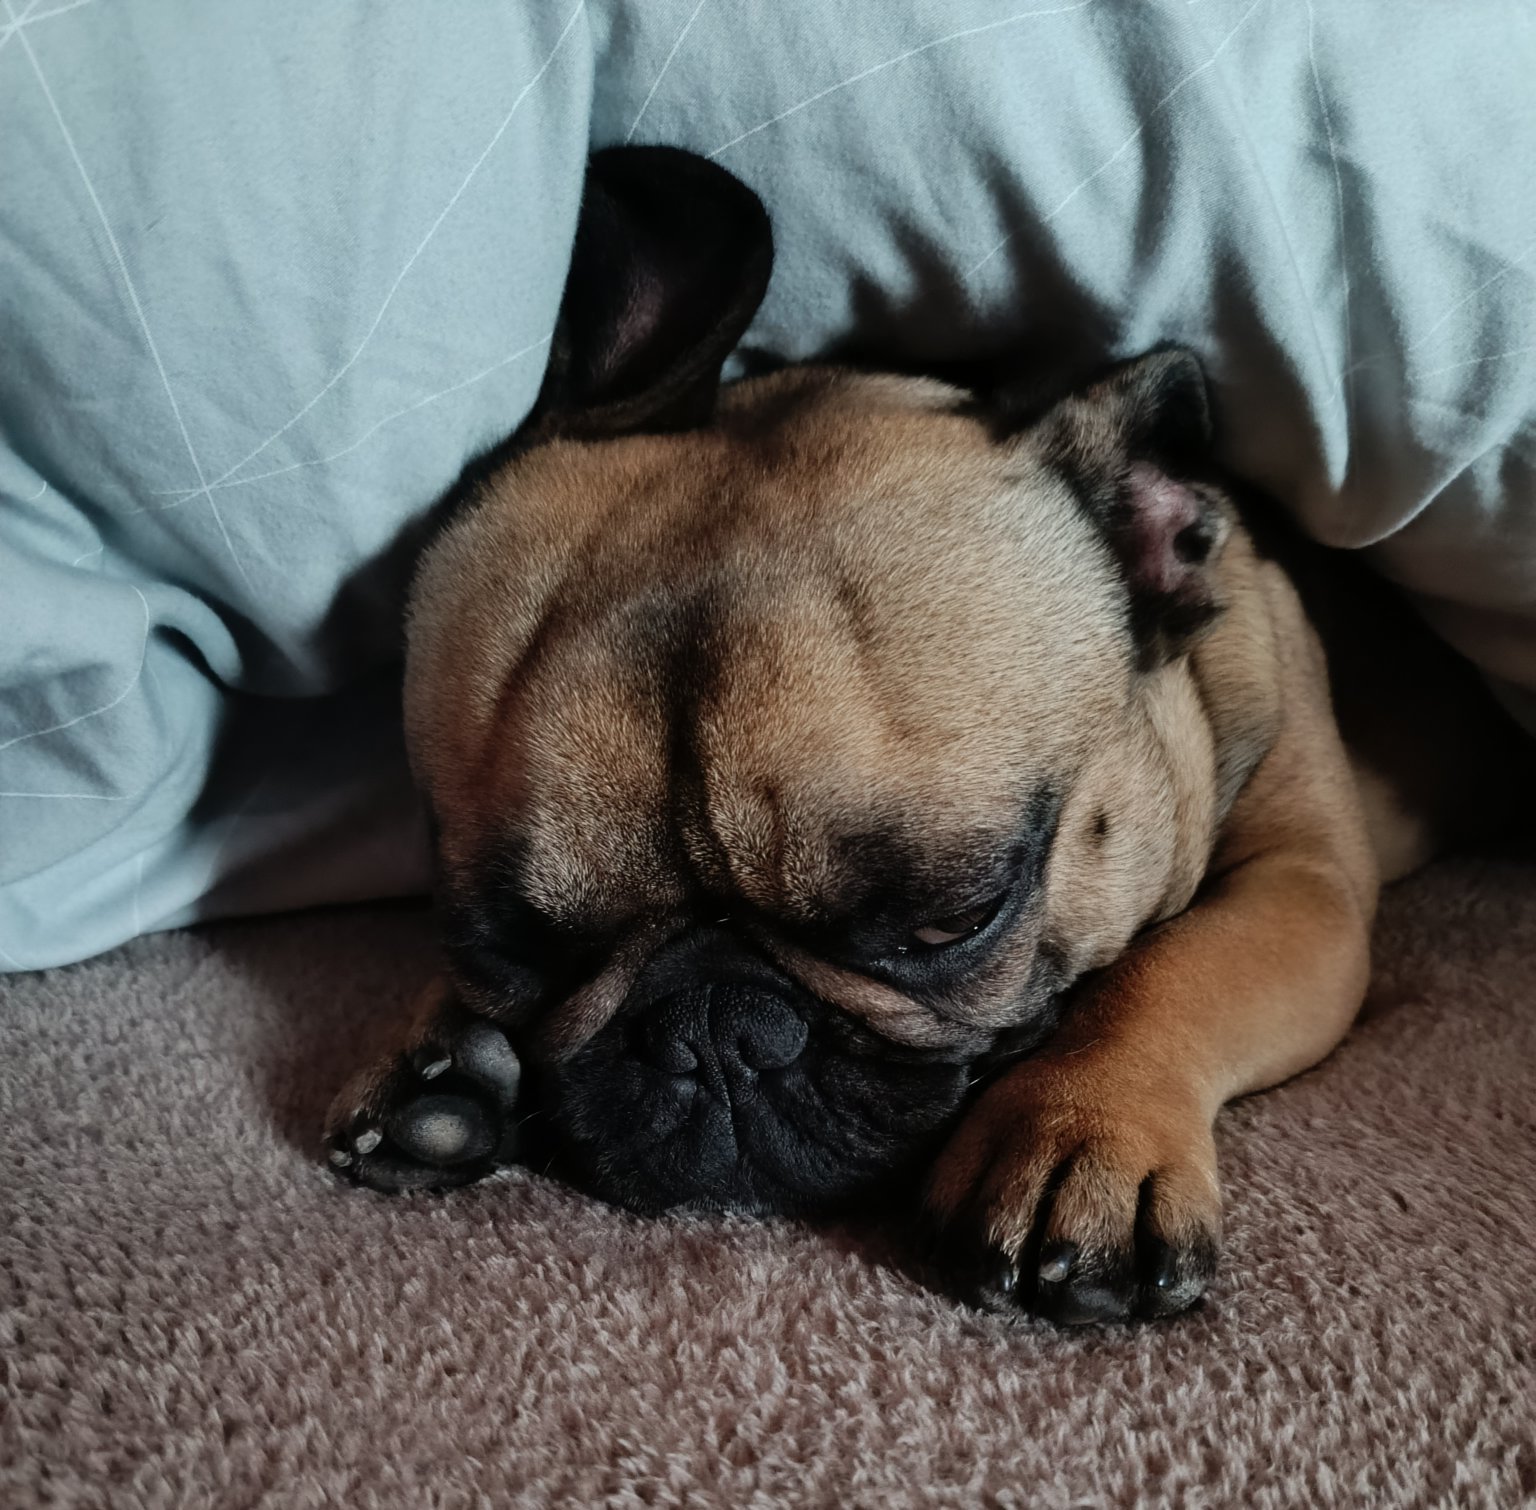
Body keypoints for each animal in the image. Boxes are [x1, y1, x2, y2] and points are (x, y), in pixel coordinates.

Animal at [324, 146, 1533, 1324]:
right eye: (505, 952)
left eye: (955, 920)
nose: (715, 1029)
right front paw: (435, 1056)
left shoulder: (1302, 885)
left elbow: (1177, 960)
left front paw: (1077, 1128)